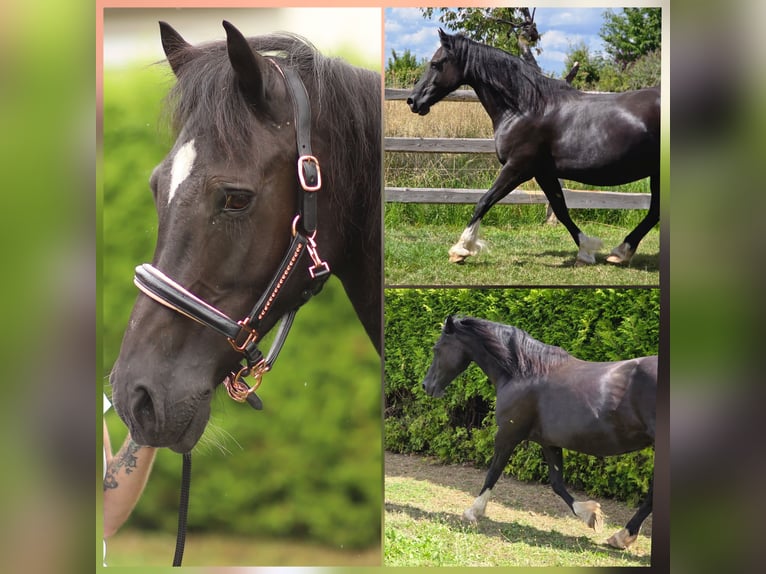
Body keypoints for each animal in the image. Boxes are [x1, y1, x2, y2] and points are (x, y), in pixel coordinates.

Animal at [407, 29, 660, 266]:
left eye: (435, 64)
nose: (413, 101)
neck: (526, 108)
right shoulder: (543, 173)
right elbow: (560, 209)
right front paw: (585, 251)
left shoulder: (518, 168)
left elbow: (484, 201)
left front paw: (461, 249)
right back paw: (620, 252)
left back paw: (620, 252)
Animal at [421, 315, 656, 549]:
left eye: (437, 349)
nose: (426, 386)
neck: (523, 374)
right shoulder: (549, 443)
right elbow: (557, 483)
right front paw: (590, 515)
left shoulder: (507, 435)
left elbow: (493, 472)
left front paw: (473, 512)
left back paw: (622, 536)